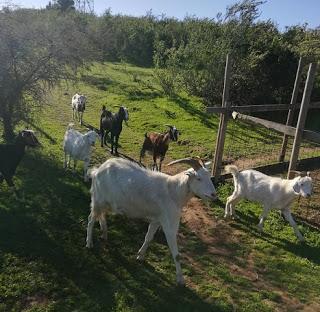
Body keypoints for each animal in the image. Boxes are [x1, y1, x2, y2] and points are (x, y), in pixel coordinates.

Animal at [85, 157, 216, 284]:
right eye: (198, 178)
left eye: (209, 177)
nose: (214, 195)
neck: (173, 192)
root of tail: (97, 170)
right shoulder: (169, 224)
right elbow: (176, 253)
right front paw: (180, 279)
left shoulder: (157, 220)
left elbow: (148, 237)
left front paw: (140, 256)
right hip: (98, 200)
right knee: (91, 219)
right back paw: (89, 243)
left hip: (105, 202)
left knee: (101, 216)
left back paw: (104, 234)